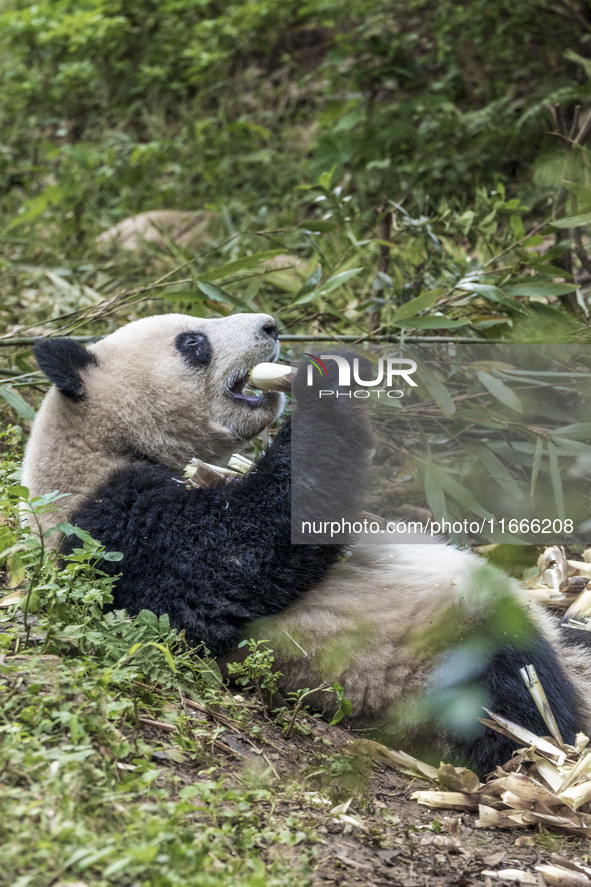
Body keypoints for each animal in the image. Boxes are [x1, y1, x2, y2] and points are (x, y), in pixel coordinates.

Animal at [22, 316, 591, 772]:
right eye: (192, 342)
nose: (271, 326)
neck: (95, 443)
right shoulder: (115, 528)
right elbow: (236, 558)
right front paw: (327, 379)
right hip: (436, 655)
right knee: (514, 692)